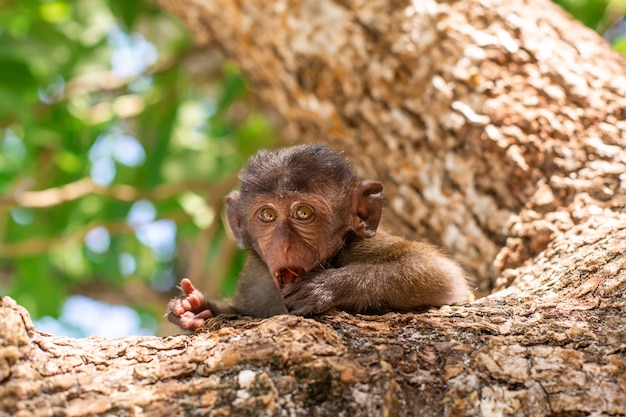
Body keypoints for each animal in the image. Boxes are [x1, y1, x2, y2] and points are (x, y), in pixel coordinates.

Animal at [166, 145, 468, 330]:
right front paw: (194, 308)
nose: (283, 244)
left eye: (303, 213)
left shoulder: (361, 246)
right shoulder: (255, 277)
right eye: (267, 215)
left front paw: (326, 287)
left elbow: (442, 275)